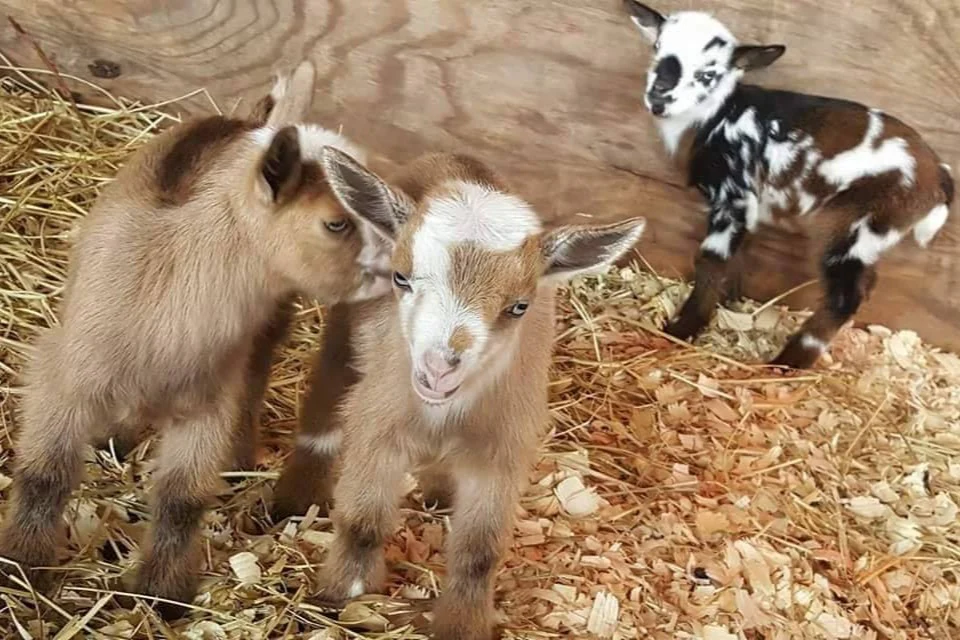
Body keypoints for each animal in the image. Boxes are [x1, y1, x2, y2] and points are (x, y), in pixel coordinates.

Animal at [0, 60, 391, 617]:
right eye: (336, 222)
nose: (403, 262)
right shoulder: (64, 379)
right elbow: (44, 474)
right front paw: (23, 566)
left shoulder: (205, 405)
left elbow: (181, 500)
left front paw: (161, 594)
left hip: (268, 322)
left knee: (255, 373)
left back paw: (237, 456)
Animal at [282, 148, 644, 640]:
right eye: (401, 278)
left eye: (518, 306)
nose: (437, 370)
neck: (442, 412)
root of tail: (452, 156)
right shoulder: (379, 422)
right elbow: (362, 522)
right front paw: (344, 593)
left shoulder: (502, 451)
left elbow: (479, 554)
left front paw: (463, 623)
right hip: (346, 331)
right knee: (326, 394)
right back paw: (290, 499)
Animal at [624, 1, 954, 368]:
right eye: (657, 47)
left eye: (709, 73)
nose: (658, 98)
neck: (718, 116)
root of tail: (938, 175)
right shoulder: (749, 206)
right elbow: (738, 255)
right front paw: (727, 305)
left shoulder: (734, 195)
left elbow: (712, 259)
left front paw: (683, 328)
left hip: (858, 223)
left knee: (845, 297)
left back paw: (787, 363)